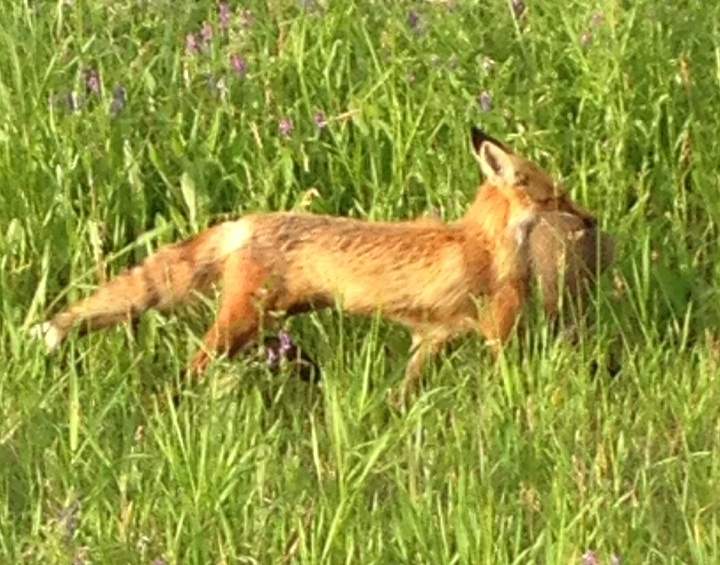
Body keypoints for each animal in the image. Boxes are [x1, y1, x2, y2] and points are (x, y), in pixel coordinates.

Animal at [31, 128, 608, 403]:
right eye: (558, 196)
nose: (592, 219)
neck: (481, 241)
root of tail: (247, 220)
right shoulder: (497, 331)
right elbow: (511, 379)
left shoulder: (432, 338)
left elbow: (404, 392)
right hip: (239, 324)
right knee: (193, 367)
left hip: (273, 319)